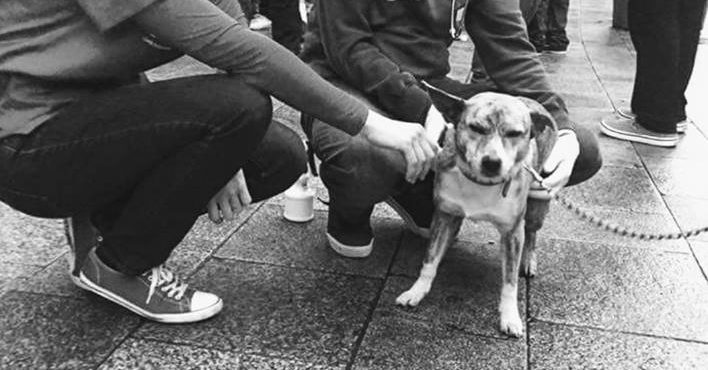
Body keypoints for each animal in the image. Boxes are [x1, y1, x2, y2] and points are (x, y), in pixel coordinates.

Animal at [396, 82, 556, 336]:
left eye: (515, 134)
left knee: (531, 233)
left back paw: (529, 260)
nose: (492, 162)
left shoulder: (512, 233)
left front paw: (510, 316)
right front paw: (417, 291)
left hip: (536, 208)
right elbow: (430, 260)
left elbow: (510, 281)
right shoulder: (444, 217)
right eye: (476, 128)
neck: (481, 183)